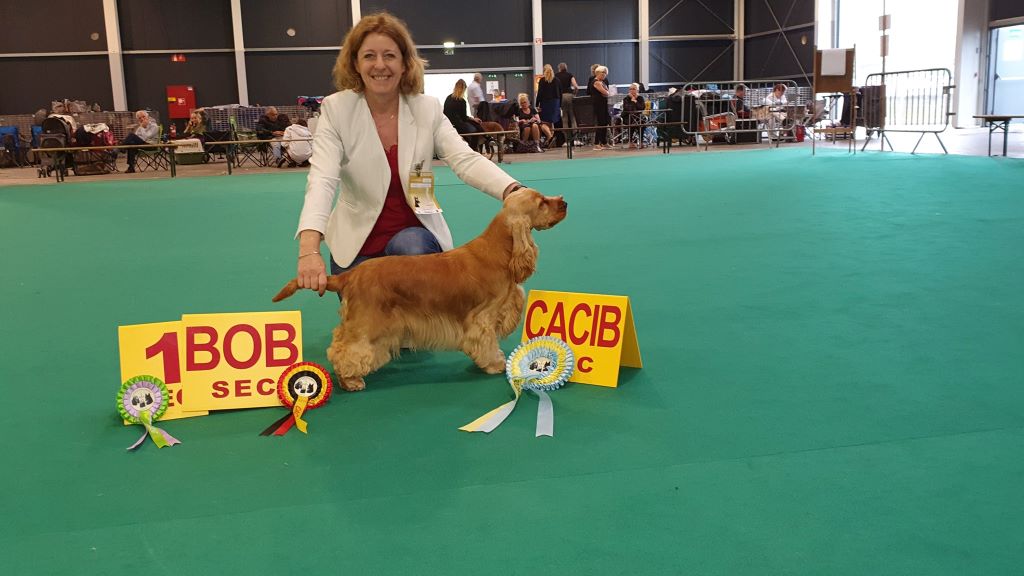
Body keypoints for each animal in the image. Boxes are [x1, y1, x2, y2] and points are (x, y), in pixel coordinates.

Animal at [272, 187, 567, 392]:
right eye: (542, 202)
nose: (564, 202)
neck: (500, 250)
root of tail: (351, 274)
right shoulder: (482, 318)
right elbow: (486, 344)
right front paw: (495, 364)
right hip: (366, 322)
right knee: (343, 350)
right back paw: (351, 380)